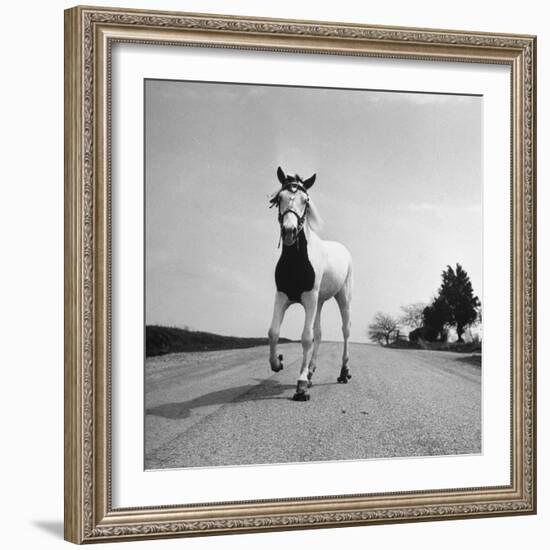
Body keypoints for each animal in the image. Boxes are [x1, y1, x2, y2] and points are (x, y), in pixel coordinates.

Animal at [270, 166, 356, 404]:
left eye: (305, 200)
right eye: (279, 198)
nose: (289, 231)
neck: (297, 262)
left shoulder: (308, 298)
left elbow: (306, 338)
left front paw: (300, 386)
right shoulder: (282, 296)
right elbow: (273, 331)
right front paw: (277, 363)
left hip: (342, 297)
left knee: (345, 330)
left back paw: (343, 372)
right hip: (319, 302)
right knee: (318, 332)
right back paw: (310, 371)